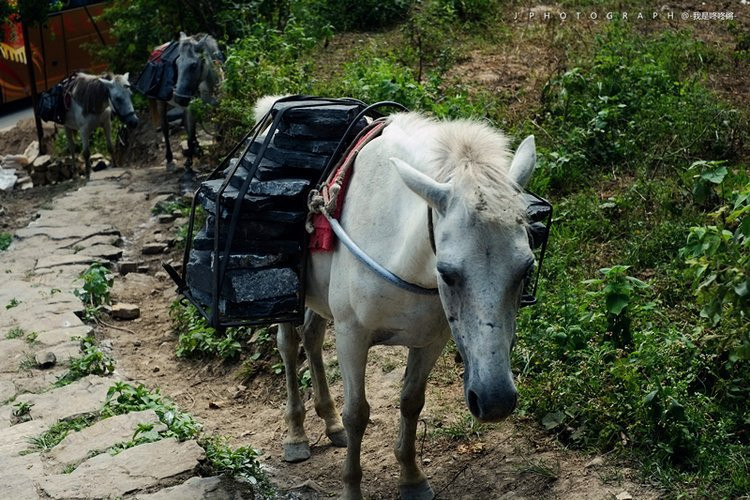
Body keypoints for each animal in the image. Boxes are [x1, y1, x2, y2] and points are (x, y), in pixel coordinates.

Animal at [274, 104, 536, 496]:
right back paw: (296, 435)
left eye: (525, 270)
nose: (495, 402)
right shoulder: (352, 335)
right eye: (447, 273)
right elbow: (358, 414)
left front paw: (412, 478)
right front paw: (352, 489)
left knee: (313, 337)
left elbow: (411, 402)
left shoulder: (432, 340)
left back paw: (330, 422)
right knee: (290, 346)